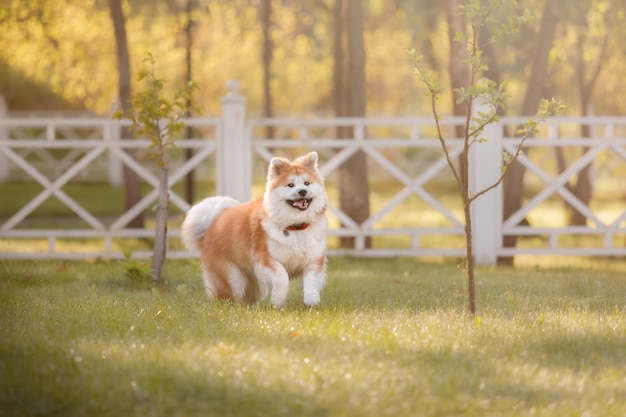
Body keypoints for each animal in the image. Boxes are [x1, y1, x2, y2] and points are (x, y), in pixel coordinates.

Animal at [180, 151, 326, 308]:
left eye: (307, 183)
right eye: (290, 185)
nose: (302, 191)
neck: (296, 227)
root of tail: (212, 223)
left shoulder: (314, 260)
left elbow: (311, 281)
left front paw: (311, 300)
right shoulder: (267, 260)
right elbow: (282, 278)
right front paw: (278, 302)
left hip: (255, 283)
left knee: (247, 298)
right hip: (232, 278)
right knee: (228, 297)